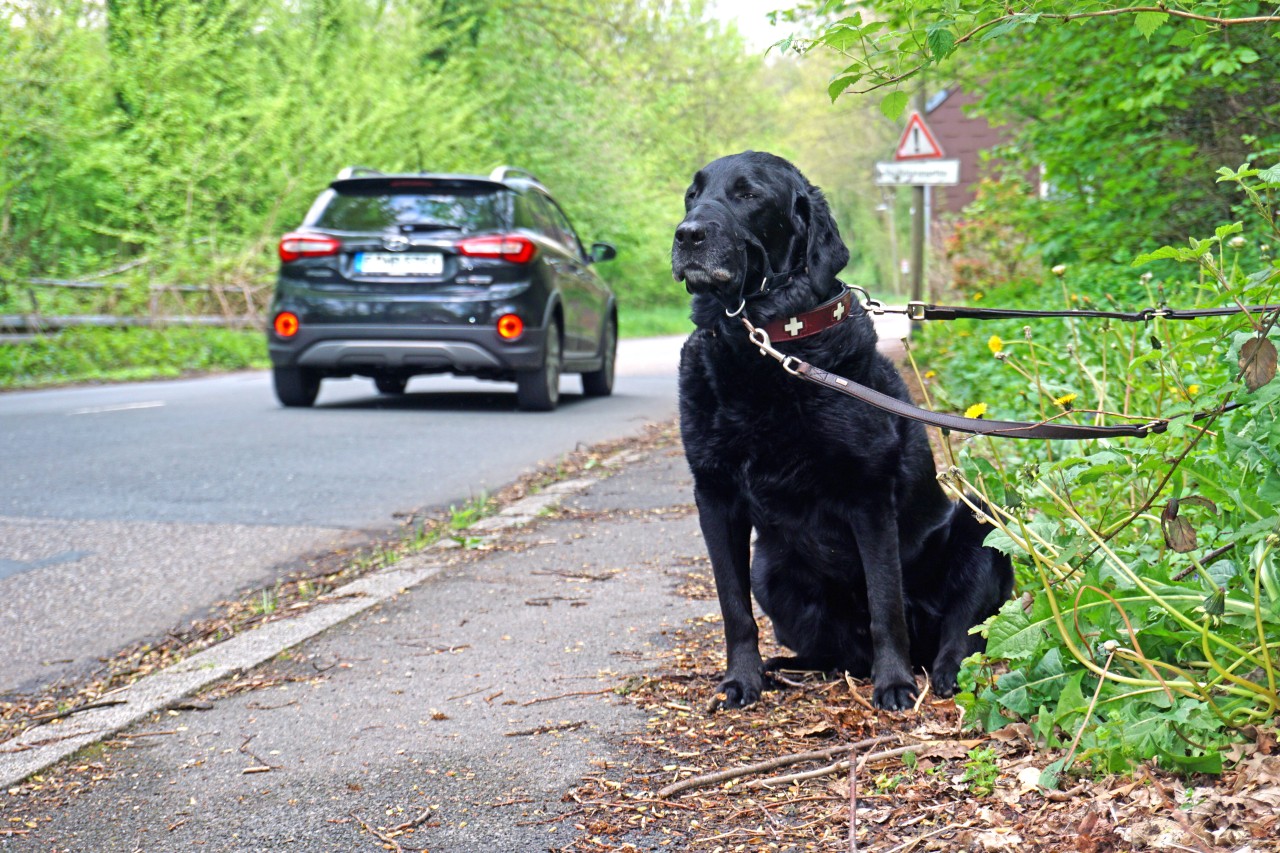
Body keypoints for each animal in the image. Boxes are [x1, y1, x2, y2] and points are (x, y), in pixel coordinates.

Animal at [670, 153, 1008, 712]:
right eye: (691, 195)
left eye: (748, 194)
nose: (686, 233)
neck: (765, 344)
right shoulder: (714, 497)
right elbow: (733, 609)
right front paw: (741, 680)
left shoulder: (867, 496)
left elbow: (884, 602)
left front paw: (893, 684)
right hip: (770, 568)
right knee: (837, 651)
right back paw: (789, 667)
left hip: (983, 528)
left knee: (961, 631)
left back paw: (940, 672)